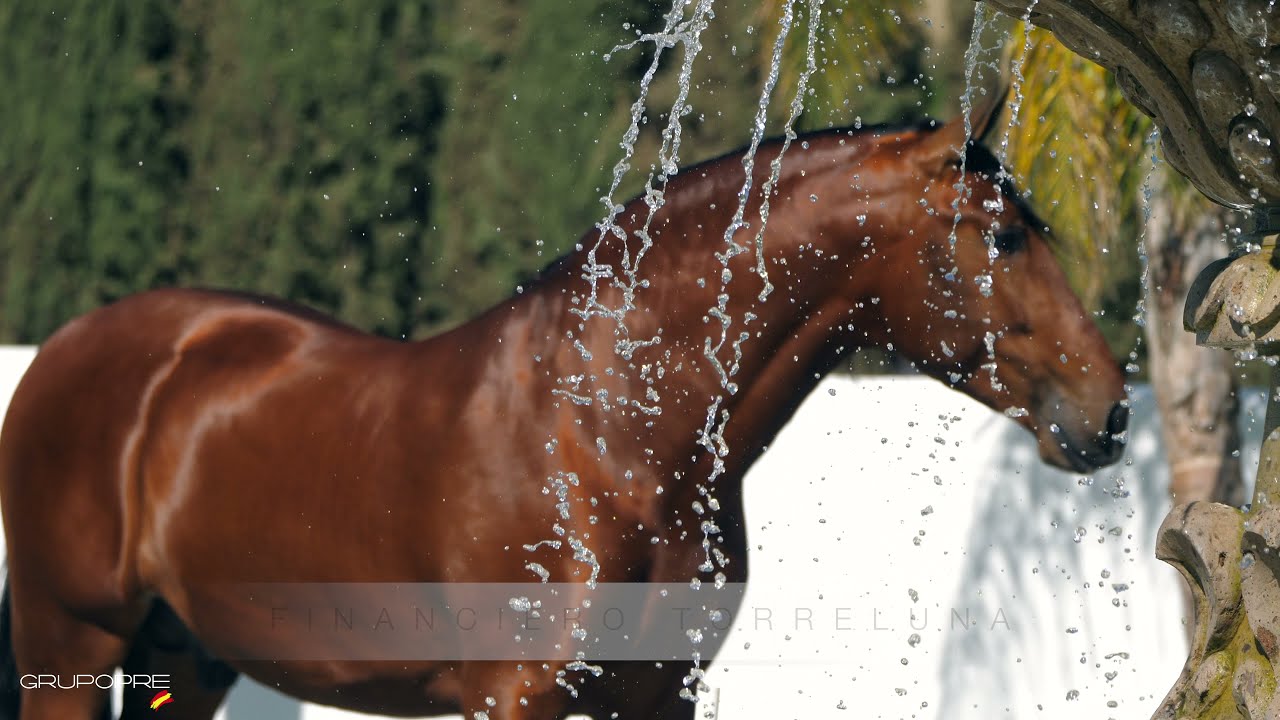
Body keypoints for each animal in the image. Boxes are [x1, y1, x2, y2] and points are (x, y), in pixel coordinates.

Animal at [0, 91, 1128, 720]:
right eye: (1005, 237)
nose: (1107, 411)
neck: (610, 437)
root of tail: (67, 354)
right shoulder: (518, 697)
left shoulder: (660, 696)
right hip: (70, 651)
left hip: (184, 665)